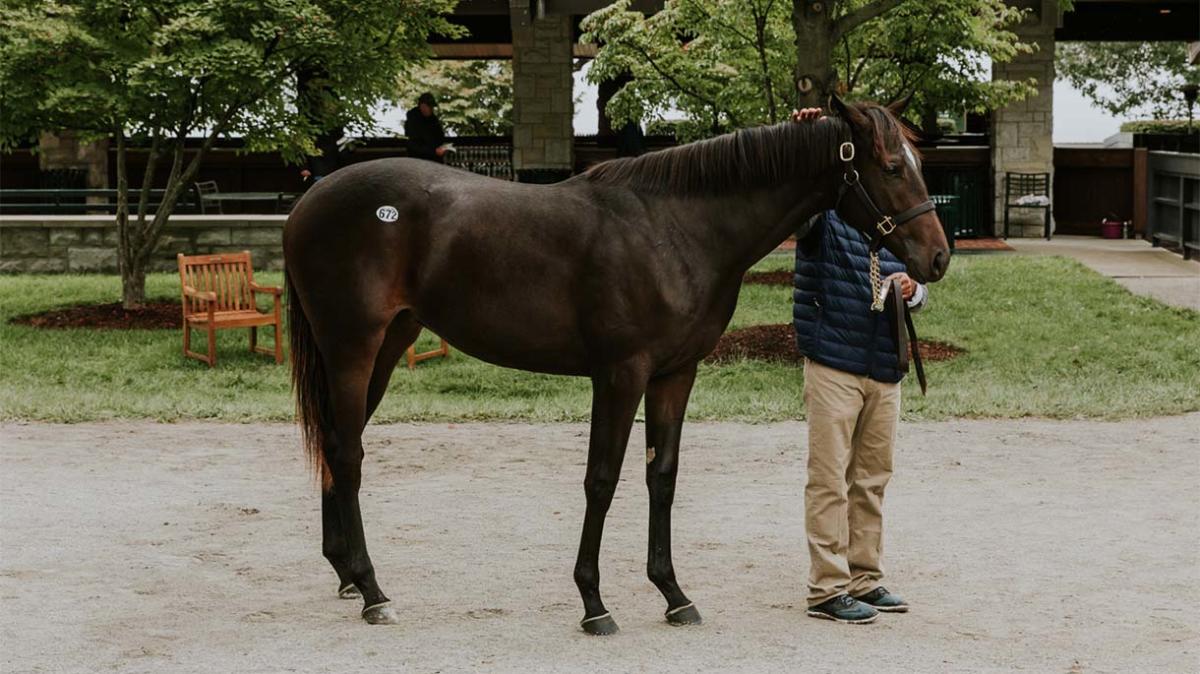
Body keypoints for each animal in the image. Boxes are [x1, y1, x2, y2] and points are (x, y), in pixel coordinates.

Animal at [280, 94, 945, 628]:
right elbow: (601, 480)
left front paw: (674, 595)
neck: (676, 227)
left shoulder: (675, 374)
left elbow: (661, 477)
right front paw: (594, 603)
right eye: (892, 168)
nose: (936, 258)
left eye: (918, 166)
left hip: (389, 344)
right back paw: (373, 592)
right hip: (352, 347)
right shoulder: (620, 375)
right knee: (348, 453)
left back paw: (346, 574)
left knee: (338, 445)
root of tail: (310, 198)